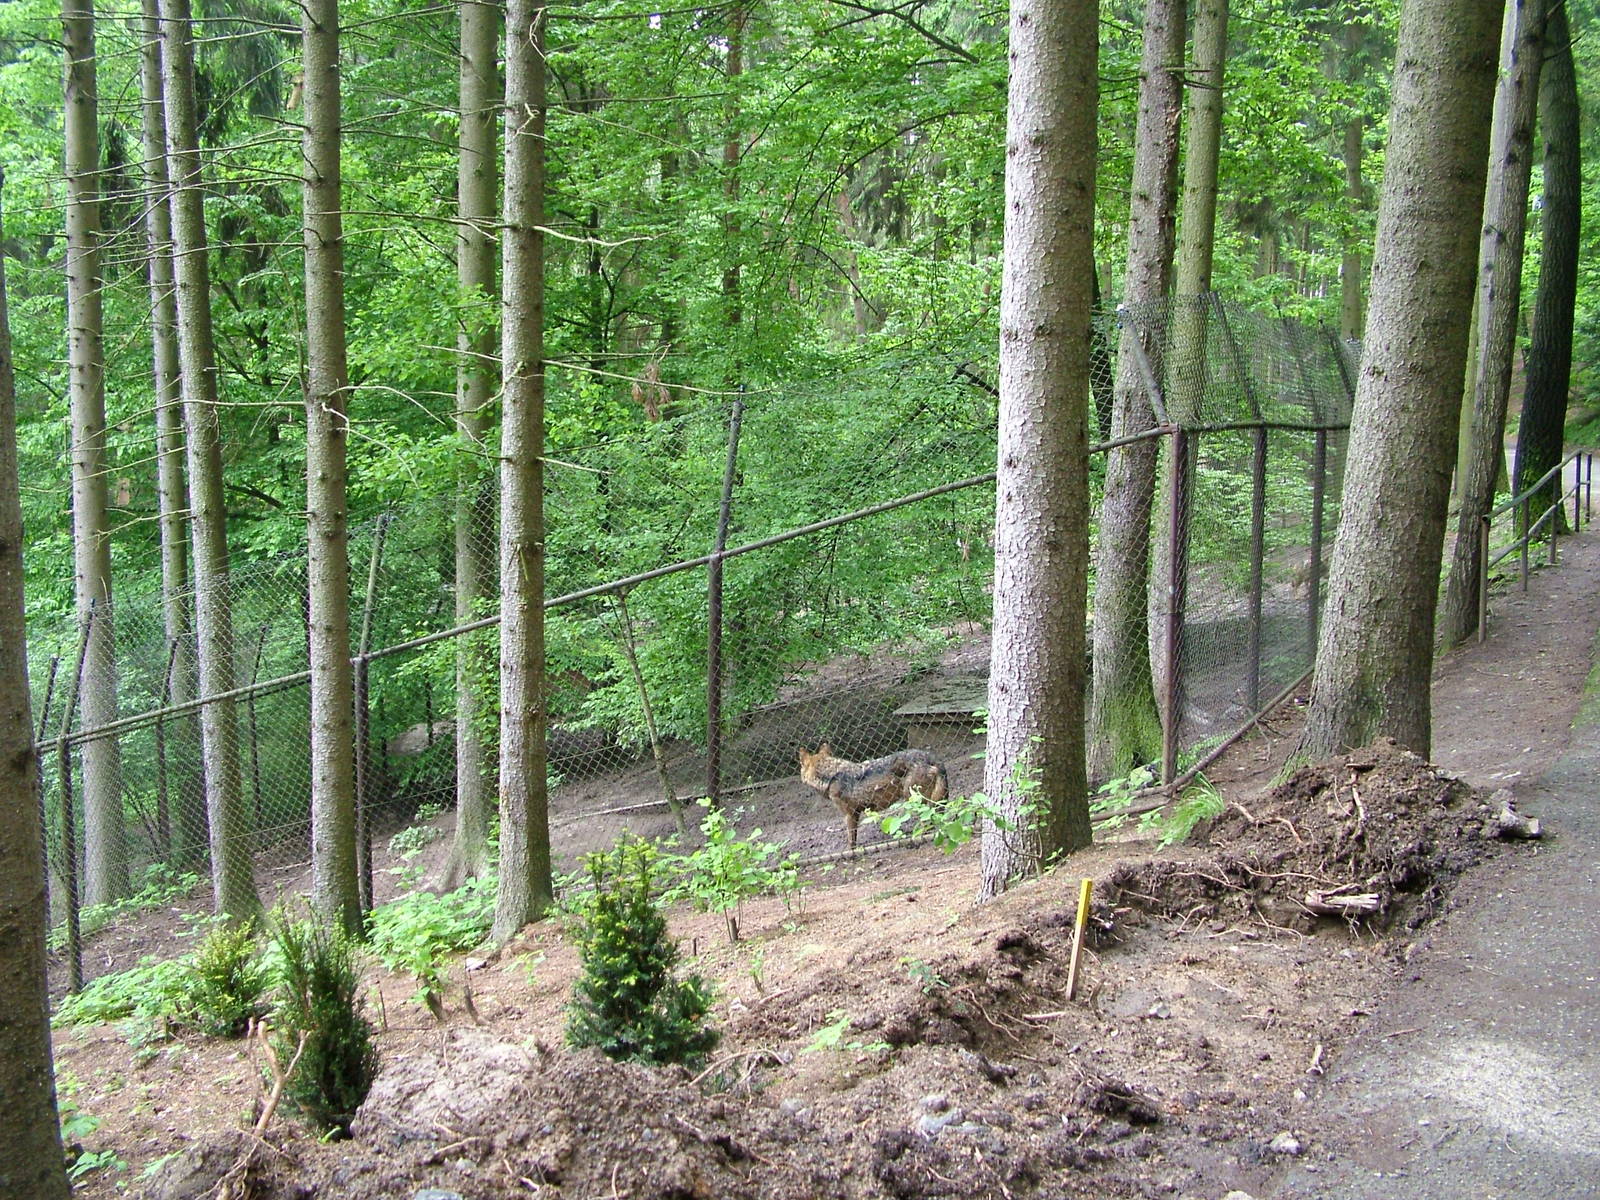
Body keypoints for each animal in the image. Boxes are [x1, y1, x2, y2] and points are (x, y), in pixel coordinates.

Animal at [798, 743, 949, 851]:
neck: (831, 776)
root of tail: (931, 757)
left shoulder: (850, 814)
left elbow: (851, 840)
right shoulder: (856, 813)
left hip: (914, 799)